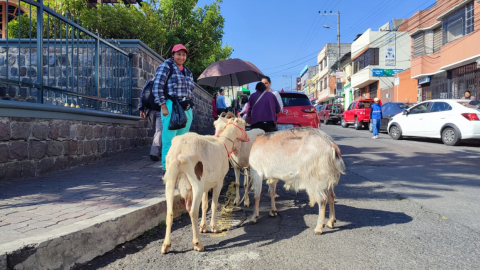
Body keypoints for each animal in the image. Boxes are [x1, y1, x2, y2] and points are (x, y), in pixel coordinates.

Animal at [163, 117, 249, 253]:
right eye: (243, 124)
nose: (247, 138)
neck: (223, 143)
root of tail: (179, 150)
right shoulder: (218, 182)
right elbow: (213, 205)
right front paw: (214, 227)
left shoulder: (206, 185)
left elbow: (205, 205)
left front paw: (203, 227)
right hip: (196, 182)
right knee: (193, 212)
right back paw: (198, 243)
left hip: (171, 179)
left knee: (170, 212)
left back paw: (166, 245)